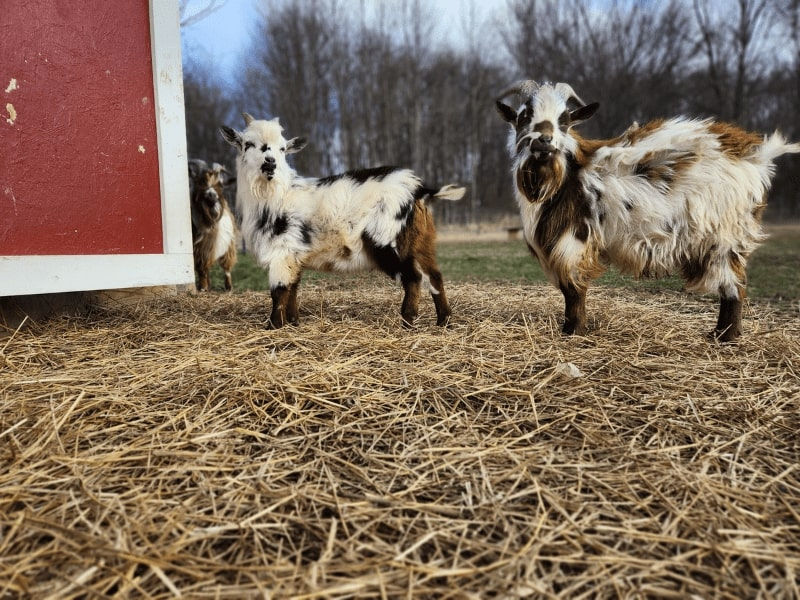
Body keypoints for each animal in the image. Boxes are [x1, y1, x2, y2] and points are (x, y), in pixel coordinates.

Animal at [188, 161, 237, 291]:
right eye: (200, 181)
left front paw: (203, 287)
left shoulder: (207, 247)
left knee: (227, 267)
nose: (211, 196)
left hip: (229, 245)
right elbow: (201, 268)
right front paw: (203, 286)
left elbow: (203, 267)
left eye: (220, 184)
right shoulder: (198, 248)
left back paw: (228, 287)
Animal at [220, 113, 465, 328]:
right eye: (248, 144)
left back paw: (407, 322)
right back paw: (444, 322)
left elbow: (279, 292)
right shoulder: (294, 256)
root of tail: (419, 189)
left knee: (414, 278)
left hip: (387, 241)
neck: (278, 193)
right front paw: (293, 322)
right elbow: (293, 289)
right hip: (422, 242)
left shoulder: (282, 250)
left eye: (282, 148)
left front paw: (273, 327)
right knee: (435, 276)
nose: (270, 163)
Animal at [495, 80, 799, 341]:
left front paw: (573, 330)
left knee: (734, 285)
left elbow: (573, 289)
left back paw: (725, 336)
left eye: (564, 120)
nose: (544, 140)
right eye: (524, 115)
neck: (560, 176)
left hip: (724, 234)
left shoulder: (574, 239)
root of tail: (754, 155)